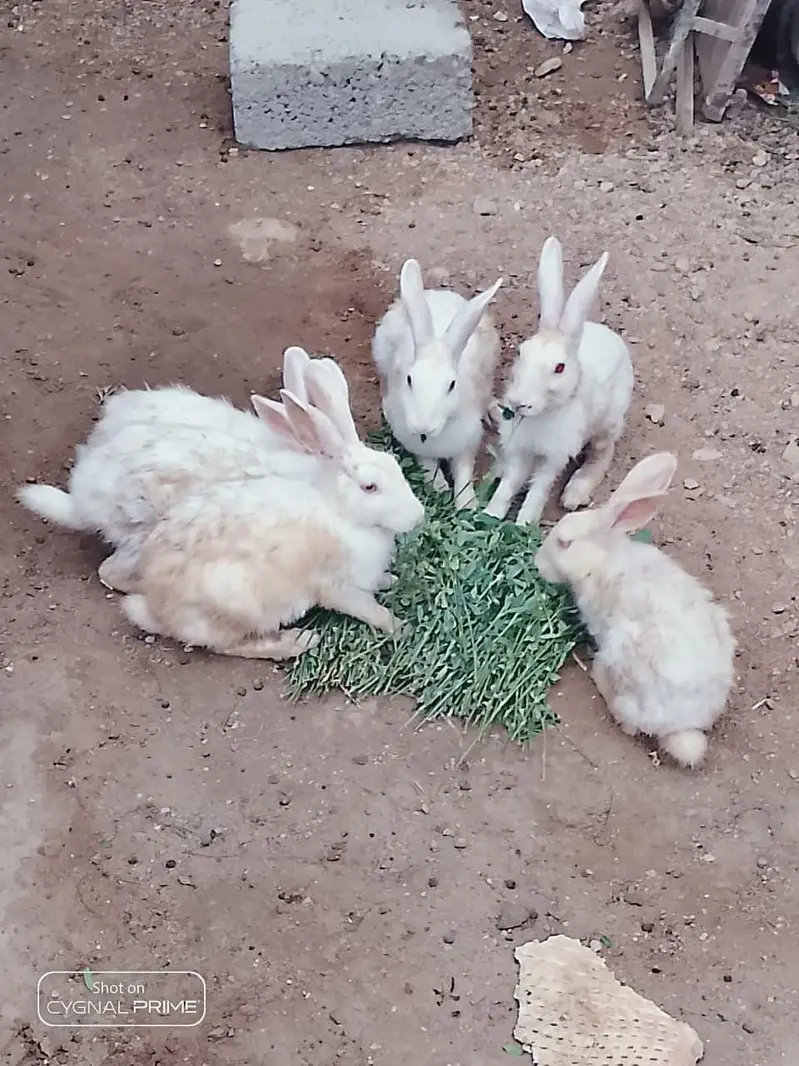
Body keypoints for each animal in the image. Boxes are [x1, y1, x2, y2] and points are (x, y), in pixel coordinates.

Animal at [121, 364, 426, 660]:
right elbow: (371, 610)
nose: (418, 515)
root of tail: (154, 605)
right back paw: (299, 642)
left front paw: (390, 580)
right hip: (237, 606)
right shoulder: (338, 587)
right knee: (231, 645)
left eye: (395, 464)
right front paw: (402, 628)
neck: (342, 514)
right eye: (369, 487)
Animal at [372, 258, 503, 510]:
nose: (423, 427)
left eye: (452, 385)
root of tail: (439, 294)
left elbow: (463, 472)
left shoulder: (468, 442)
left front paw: (466, 503)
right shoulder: (414, 444)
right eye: (409, 379)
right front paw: (440, 488)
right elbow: (428, 465)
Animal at [484, 236, 634, 525]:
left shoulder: (554, 456)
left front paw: (524, 524)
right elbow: (509, 485)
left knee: (602, 453)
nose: (518, 403)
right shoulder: (520, 450)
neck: (542, 414)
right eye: (520, 352)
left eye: (559, 368)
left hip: (607, 423)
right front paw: (490, 514)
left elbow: (538, 490)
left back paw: (574, 493)